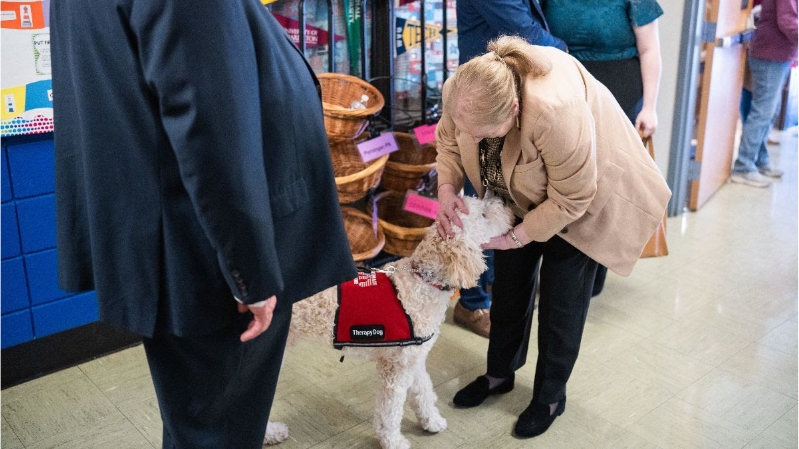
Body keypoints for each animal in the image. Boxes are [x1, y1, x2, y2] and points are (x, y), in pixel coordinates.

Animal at [262, 196, 512, 448]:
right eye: (483, 215)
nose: (505, 204)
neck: (421, 282)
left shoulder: (413, 359)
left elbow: (423, 391)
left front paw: (431, 420)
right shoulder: (394, 369)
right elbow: (390, 411)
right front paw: (392, 441)